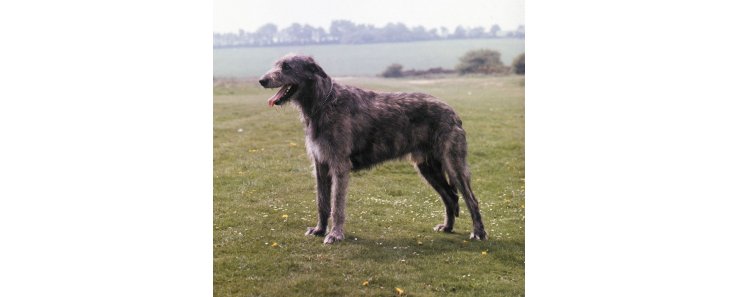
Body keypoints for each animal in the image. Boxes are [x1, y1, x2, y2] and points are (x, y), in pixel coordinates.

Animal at [258, 53, 488, 243]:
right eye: (276, 64)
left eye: (287, 67)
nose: (262, 80)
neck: (323, 102)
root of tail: (452, 112)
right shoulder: (321, 163)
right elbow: (322, 202)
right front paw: (320, 229)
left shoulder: (340, 164)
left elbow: (337, 205)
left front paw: (335, 234)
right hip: (427, 167)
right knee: (450, 196)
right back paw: (448, 227)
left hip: (453, 163)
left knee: (471, 198)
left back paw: (478, 232)